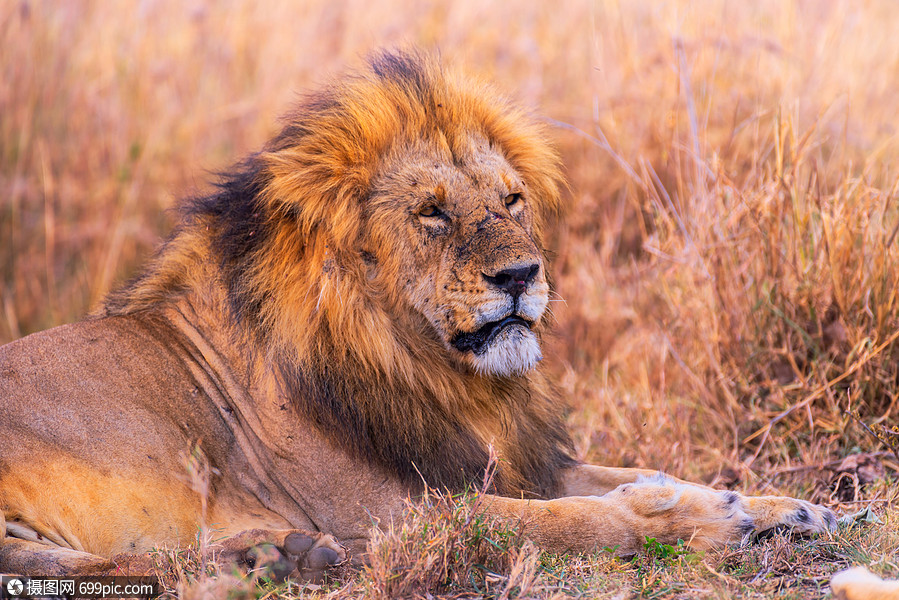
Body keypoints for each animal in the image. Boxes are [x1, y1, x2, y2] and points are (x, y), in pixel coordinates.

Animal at [3, 49, 840, 584]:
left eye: (510, 200)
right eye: (432, 213)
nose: (521, 274)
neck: (432, 371)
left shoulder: (497, 458)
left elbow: (634, 471)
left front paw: (786, 506)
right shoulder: (394, 511)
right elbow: (575, 519)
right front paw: (682, 522)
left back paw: (274, 557)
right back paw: (280, 558)